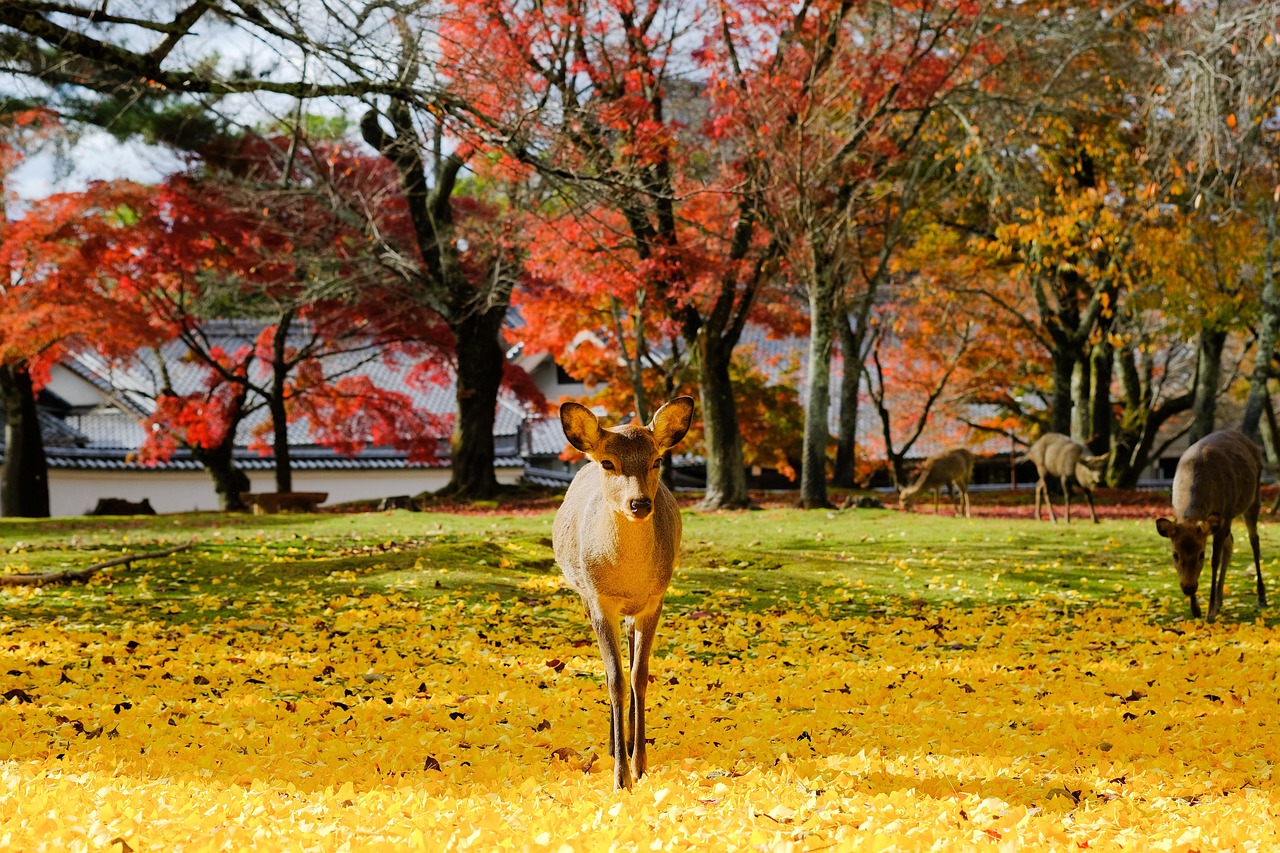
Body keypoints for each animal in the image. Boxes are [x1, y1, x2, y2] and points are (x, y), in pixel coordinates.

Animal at [552, 396, 695, 790]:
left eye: (656, 460)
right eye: (608, 462)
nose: (640, 504)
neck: (629, 578)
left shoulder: (655, 600)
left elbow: (638, 675)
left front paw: (640, 764)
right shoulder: (600, 601)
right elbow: (615, 678)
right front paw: (621, 777)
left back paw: (628, 744)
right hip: (586, 598)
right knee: (607, 672)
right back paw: (614, 745)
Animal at [1155, 429, 1265, 623]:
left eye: (1201, 554)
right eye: (1175, 554)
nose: (1189, 587)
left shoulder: (1224, 515)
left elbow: (1214, 561)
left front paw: (1210, 613)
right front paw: (1196, 609)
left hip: (1253, 498)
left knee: (1254, 541)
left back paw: (1261, 597)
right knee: (1231, 543)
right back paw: (1220, 600)